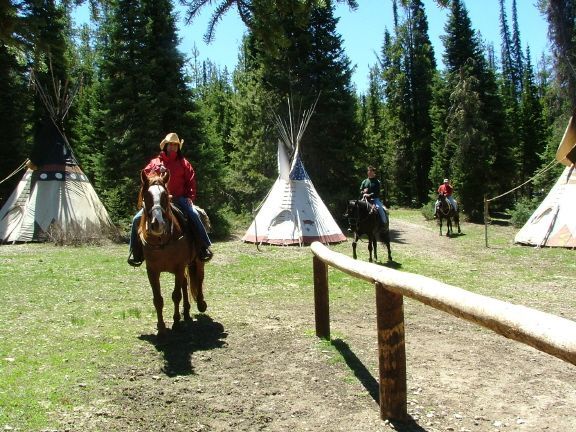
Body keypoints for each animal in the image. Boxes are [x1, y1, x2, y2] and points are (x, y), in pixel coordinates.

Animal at [138, 170, 207, 336]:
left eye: (164, 195)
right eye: (146, 195)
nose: (157, 224)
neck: (162, 241)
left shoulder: (179, 266)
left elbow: (176, 295)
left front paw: (175, 323)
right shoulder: (152, 271)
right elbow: (158, 299)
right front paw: (161, 327)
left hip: (198, 261)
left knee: (199, 278)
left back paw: (201, 304)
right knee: (184, 283)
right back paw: (186, 312)